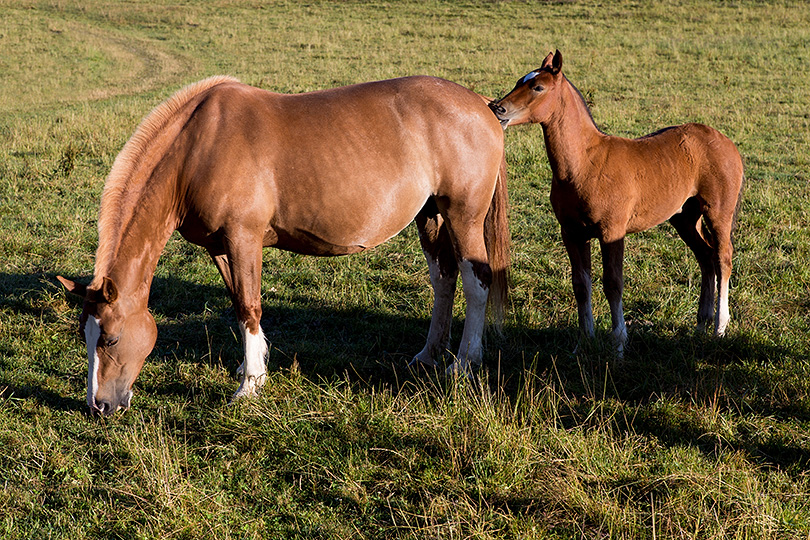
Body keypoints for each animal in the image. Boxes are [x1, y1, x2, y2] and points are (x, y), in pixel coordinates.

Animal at [56, 75, 508, 414]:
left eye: (111, 339)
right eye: (85, 335)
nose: (98, 406)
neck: (198, 148)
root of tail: (482, 104)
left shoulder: (244, 239)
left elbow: (249, 306)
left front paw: (249, 386)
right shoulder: (220, 247)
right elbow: (239, 305)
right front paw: (248, 368)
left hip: (463, 216)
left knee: (476, 282)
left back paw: (464, 364)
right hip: (430, 216)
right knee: (444, 280)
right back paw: (429, 355)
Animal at [490, 50, 740, 354]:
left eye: (538, 87)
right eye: (519, 81)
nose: (497, 108)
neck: (584, 164)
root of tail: (724, 140)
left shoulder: (612, 231)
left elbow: (613, 283)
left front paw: (619, 342)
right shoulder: (572, 233)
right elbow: (580, 284)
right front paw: (584, 341)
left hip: (718, 213)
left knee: (722, 258)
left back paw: (719, 327)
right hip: (684, 218)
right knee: (705, 256)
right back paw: (701, 325)